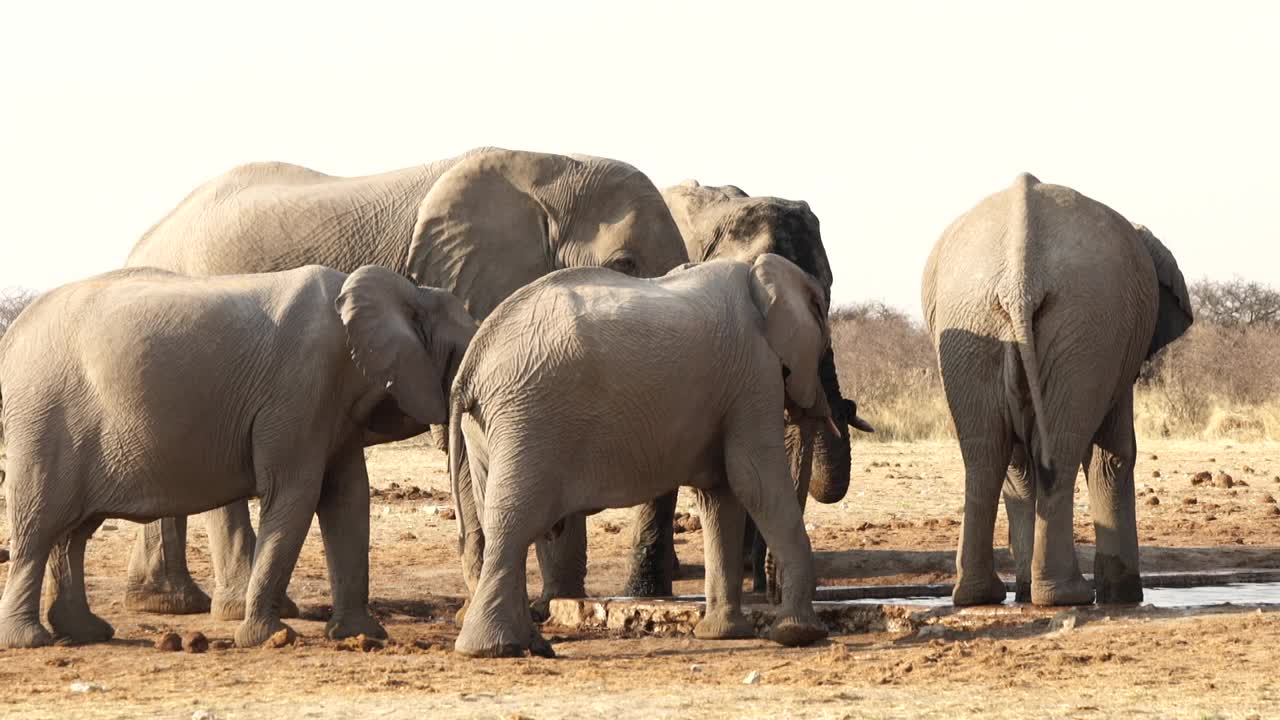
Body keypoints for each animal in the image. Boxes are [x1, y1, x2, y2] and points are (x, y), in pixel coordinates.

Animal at [0, 263, 478, 645]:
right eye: (462, 353)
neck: (409, 290)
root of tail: (14, 334)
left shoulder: (334, 408)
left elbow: (347, 499)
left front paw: (362, 636)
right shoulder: (300, 389)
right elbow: (295, 494)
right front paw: (270, 637)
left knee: (73, 533)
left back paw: (86, 633)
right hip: (44, 418)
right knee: (39, 526)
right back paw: (32, 641)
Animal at [122, 147, 691, 617]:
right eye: (624, 264)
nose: (650, 593)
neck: (552, 165)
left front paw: (556, 605)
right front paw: (541, 607)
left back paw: (167, 604)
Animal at [455, 253, 834, 655]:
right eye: (822, 329)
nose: (770, 594)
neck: (758, 271)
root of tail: (472, 362)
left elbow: (720, 495)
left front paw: (723, 634)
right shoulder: (753, 370)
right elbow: (753, 481)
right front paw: (799, 634)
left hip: (492, 426)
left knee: (501, 522)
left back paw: (529, 646)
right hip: (528, 418)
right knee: (514, 524)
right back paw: (496, 649)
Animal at [926, 174, 1192, 604]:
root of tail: (1020, 276)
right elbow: (1115, 456)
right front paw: (1123, 596)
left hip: (980, 323)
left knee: (987, 454)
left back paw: (984, 595)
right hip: (1085, 327)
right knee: (1058, 453)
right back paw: (1067, 595)